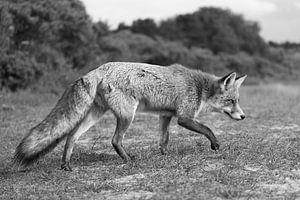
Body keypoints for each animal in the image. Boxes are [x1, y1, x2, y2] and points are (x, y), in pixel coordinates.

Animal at [13, 61, 246, 171]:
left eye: (237, 100)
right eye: (231, 101)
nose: (243, 117)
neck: (199, 88)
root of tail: (98, 69)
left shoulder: (165, 116)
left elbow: (164, 139)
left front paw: (165, 155)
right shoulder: (184, 117)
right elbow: (207, 128)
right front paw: (215, 144)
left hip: (95, 115)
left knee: (71, 136)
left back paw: (66, 165)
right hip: (127, 115)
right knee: (115, 140)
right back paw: (128, 160)